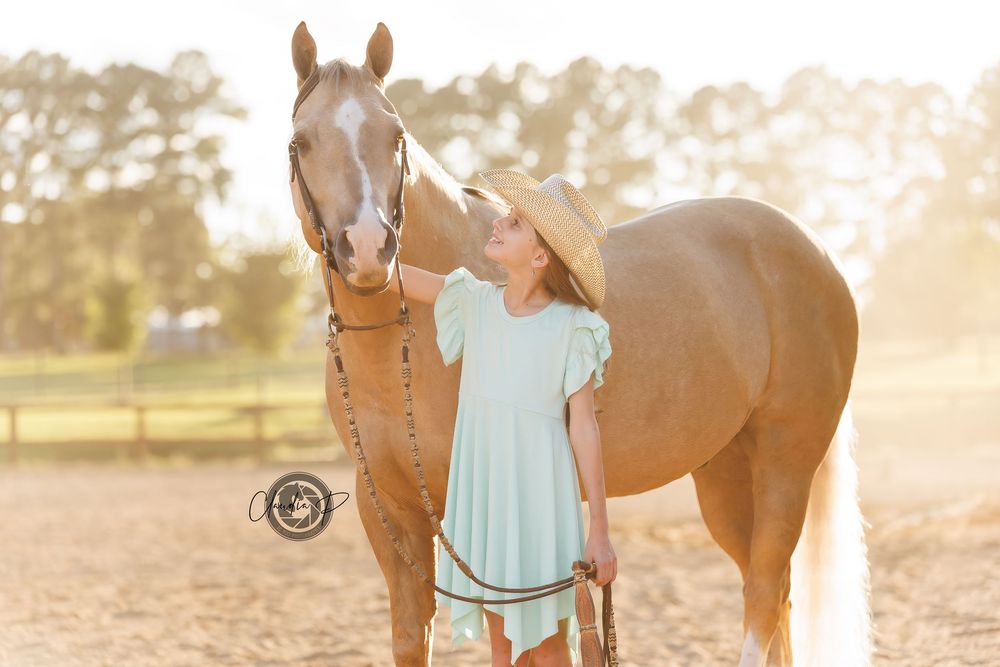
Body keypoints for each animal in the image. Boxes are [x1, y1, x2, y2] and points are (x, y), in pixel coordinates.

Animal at [286, 20, 873, 667]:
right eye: (302, 142)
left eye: (395, 137)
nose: (368, 250)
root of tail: (819, 251)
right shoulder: (387, 509)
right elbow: (412, 635)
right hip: (725, 471)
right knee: (777, 593)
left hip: (785, 457)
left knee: (764, 592)